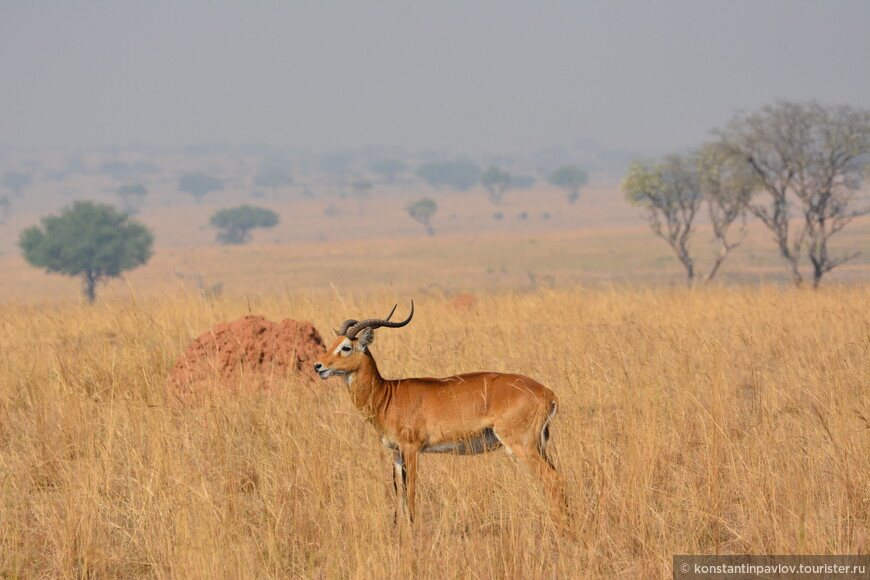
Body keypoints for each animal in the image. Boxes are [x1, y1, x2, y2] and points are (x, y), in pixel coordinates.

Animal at [316, 304, 572, 524]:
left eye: (346, 347)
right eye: (332, 343)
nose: (318, 366)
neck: (388, 394)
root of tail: (548, 393)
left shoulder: (411, 449)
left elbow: (411, 492)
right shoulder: (396, 453)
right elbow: (399, 498)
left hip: (521, 445)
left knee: (553, 480)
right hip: (538, 446)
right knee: (559, 480)